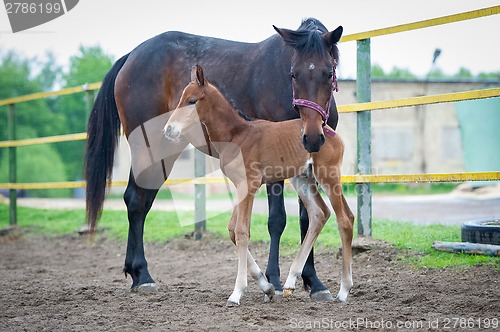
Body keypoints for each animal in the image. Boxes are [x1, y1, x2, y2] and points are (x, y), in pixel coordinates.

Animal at [164, 65, 356, 306]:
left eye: (191, 101)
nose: (169, 130)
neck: (237, 135)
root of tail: (328, 131)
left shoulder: (250, 185)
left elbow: (242, 231)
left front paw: (237, 293)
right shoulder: (239, 186)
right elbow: (232, 230)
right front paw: (267, 287)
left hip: (328, 176)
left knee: (345, 219)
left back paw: (344, 290)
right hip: (302, 178)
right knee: (319, 214)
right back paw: (290, 282)